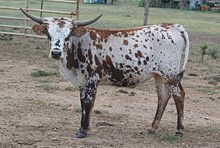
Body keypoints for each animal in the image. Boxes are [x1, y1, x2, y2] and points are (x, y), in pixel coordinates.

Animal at [20, 7, 189, 138]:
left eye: (68, 35)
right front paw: (82, 127)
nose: (56, 52)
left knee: (178, 95)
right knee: (163, 97)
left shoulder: (92, 79)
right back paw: (152, 127)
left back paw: (179, 130)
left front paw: (83, 131)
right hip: (159, 76)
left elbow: (88, 104)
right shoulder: (82, 82)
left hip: (170, 73)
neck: (78, 45)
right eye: (49, 34)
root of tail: (172, 26)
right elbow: (82, 103)